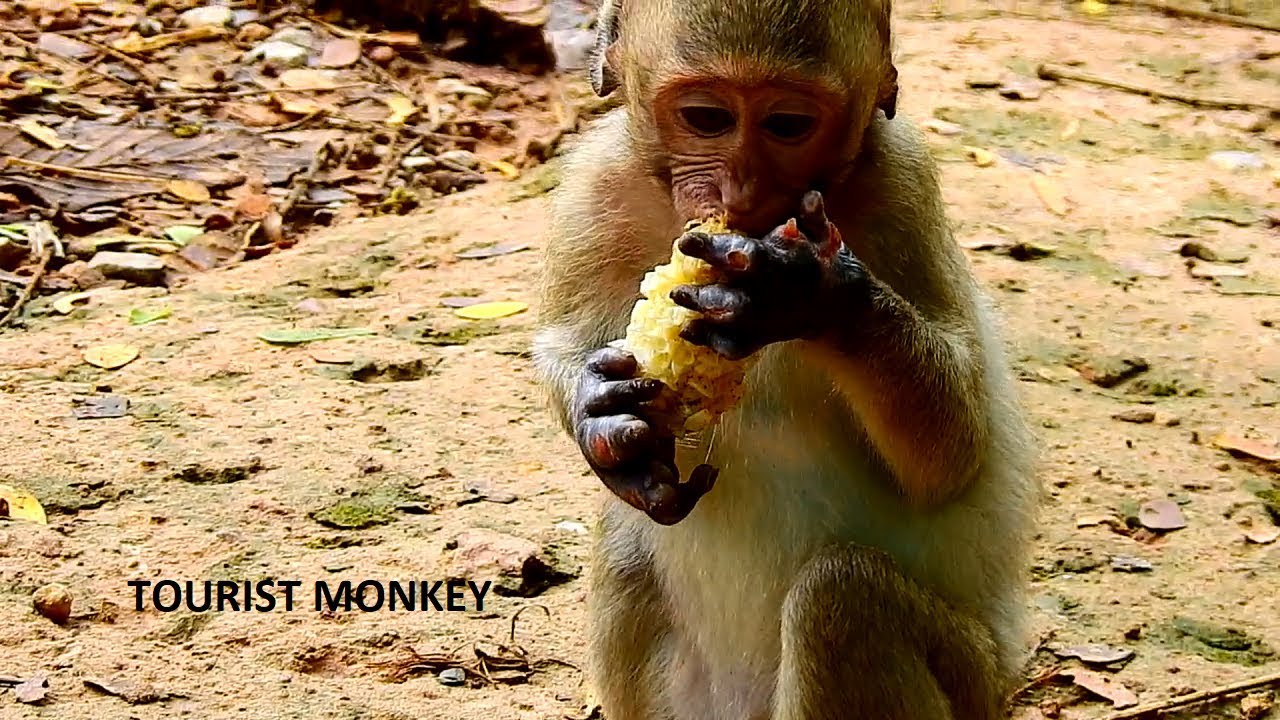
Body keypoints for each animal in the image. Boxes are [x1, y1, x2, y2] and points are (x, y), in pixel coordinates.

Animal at [531, 0, 1039, 717]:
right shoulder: (595, 183)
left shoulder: (904, 182)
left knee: (843, 598)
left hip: (974, 680)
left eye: (788, 125)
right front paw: (602, 416)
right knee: (628, 541)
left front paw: (809, 294)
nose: (741, 192)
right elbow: (563, 342)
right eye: (707, 118)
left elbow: (955, 453)